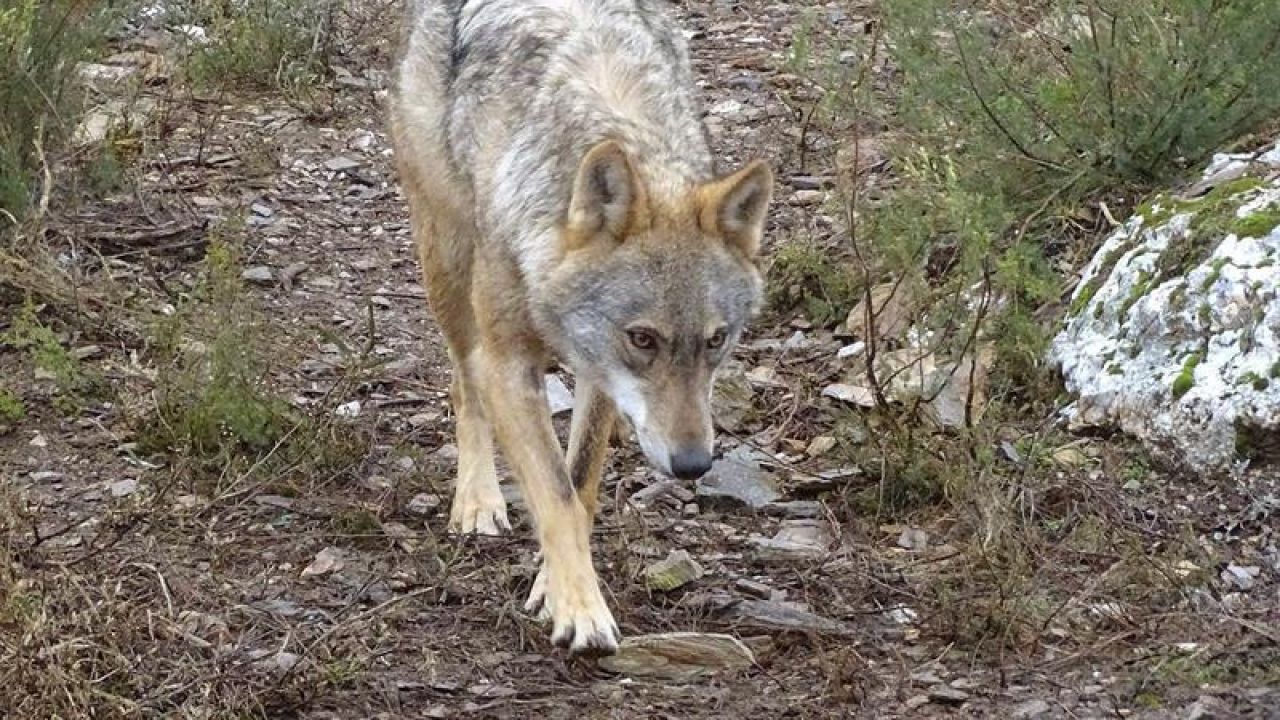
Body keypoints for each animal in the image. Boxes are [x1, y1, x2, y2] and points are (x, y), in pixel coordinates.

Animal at [388, 0, 773, 654]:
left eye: (717, 341)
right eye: (643, 339)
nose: (694, 465)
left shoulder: (599, 372)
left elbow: (580, 484)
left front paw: (553, 585)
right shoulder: (509, 363)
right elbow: (555, 494)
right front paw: (581, 610)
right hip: (447, 263)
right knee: (463, 386)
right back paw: (477, 501)